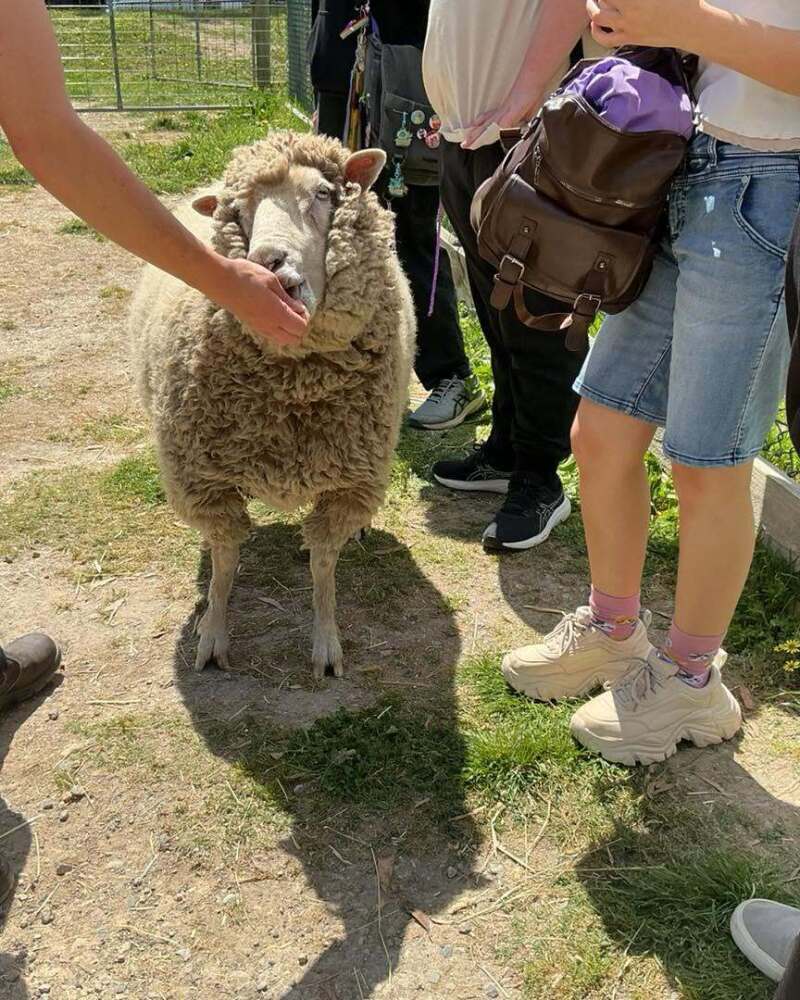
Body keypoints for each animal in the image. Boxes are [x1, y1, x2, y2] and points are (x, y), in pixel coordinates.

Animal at [130, 131, 416, 678]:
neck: (292, 386)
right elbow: (224, 558)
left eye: (324, 192)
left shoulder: (349, 483)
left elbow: (323, 563)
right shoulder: (204, 481)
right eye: (239, 212)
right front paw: (212, 633)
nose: (267, 261)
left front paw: (326, 641)